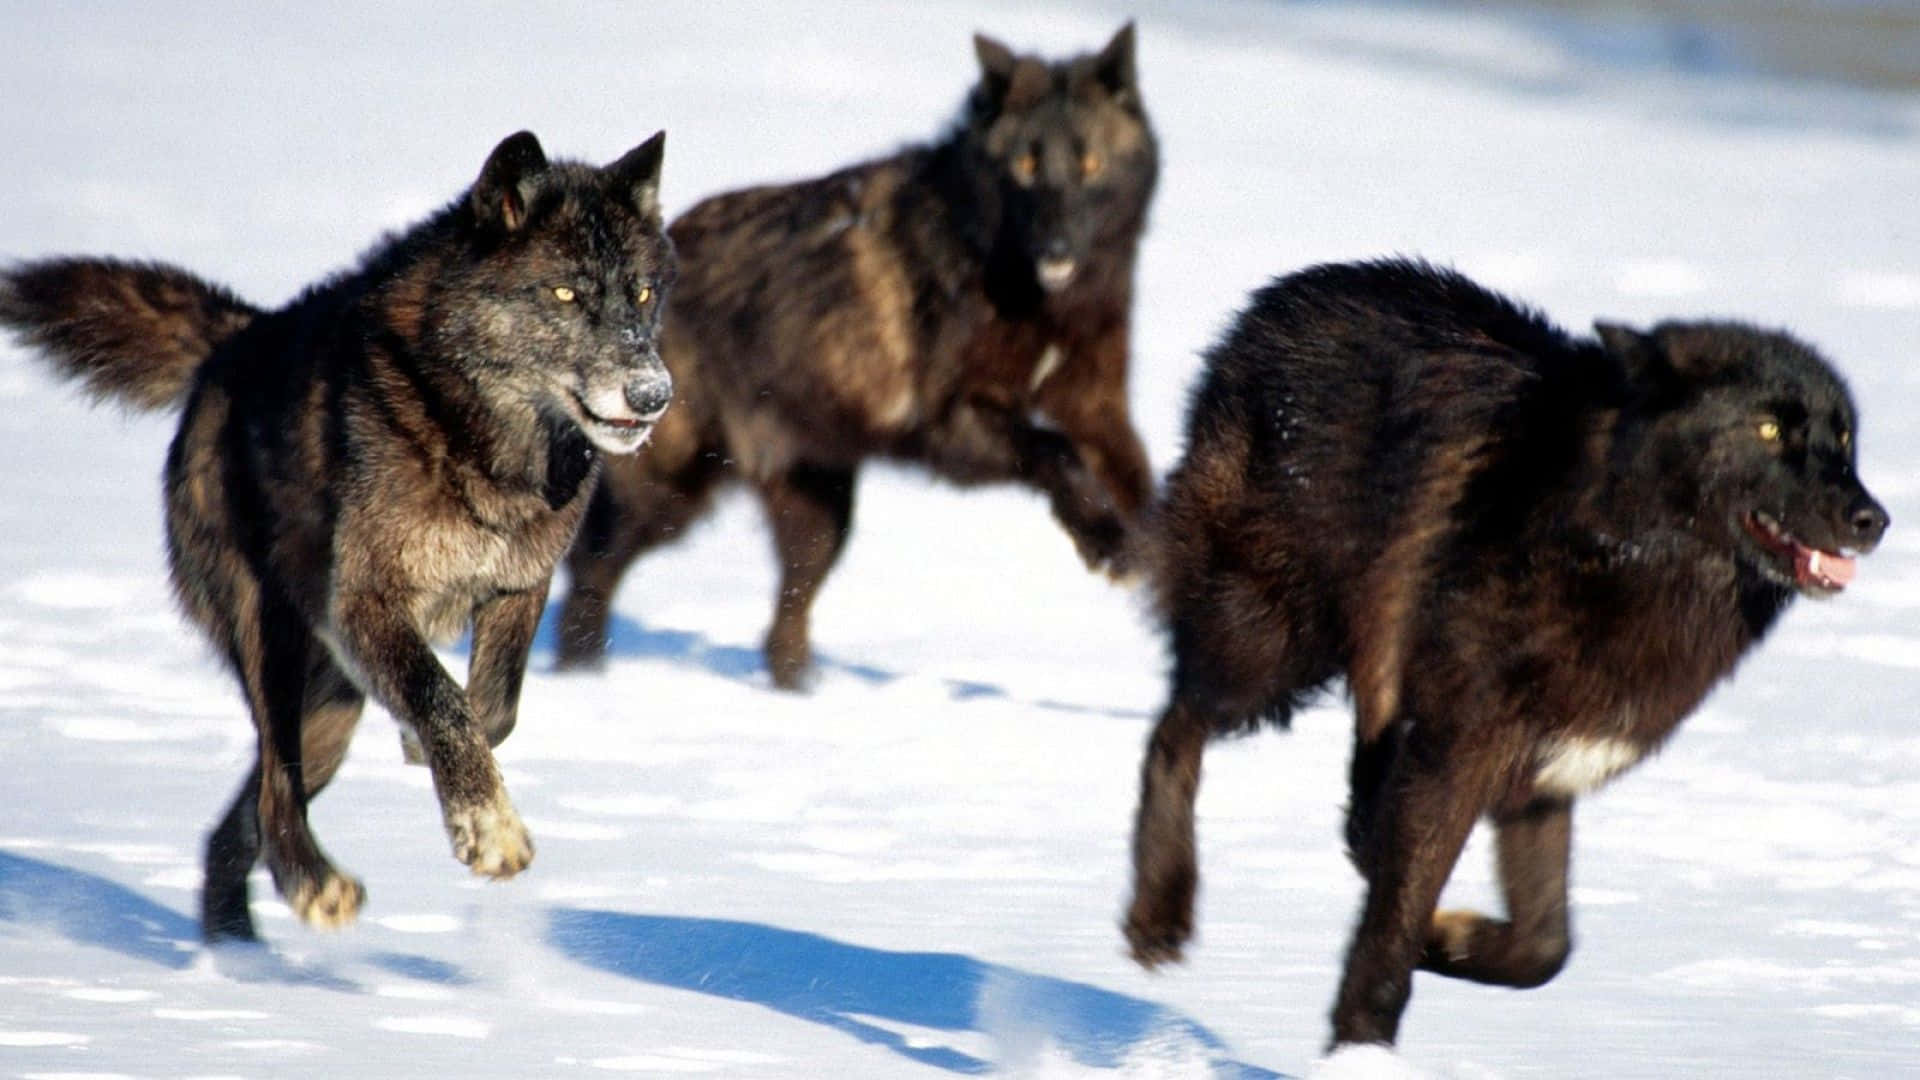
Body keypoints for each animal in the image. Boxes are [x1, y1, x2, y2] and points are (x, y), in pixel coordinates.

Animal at [0, 130, 674, 941]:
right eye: (567, 294)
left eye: (643, 293)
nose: (653, 393)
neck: (478, 438)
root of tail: (238, 338)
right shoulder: (364, 604)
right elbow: (445, 699)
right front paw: (488, 829)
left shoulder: (518, 586)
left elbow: (491, 708)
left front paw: (438, 763)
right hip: (274, 643)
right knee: (272, 790)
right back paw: (313, 887)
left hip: (332, 711)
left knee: (237, 824)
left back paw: (237, 952)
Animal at [555, 24, 1158, 687]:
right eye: (1026, 165)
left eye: (1090, 164)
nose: (1057, 249)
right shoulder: (951, 424)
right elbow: (1056, 451)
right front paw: (1107, 546)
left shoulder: (1099, 407)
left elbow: (1139, 481)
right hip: (668, 494)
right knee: (591, 569)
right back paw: (580, 676)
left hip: (821, 512)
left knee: (785, 621)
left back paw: (798, 695)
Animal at [1121, 259, 1889, 1047]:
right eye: (1768, 429)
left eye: (1844, 438)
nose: (1875, 519)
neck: (1611, 543)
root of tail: (1269, 303)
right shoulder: (1457, 755)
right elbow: (1393, 936)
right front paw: (1362, 1043)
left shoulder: (1543, 776)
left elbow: (1542, 947)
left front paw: (1449, 938)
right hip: (1271, 650)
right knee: (1174, 729)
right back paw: (1159, 914)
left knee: (1351, 812)